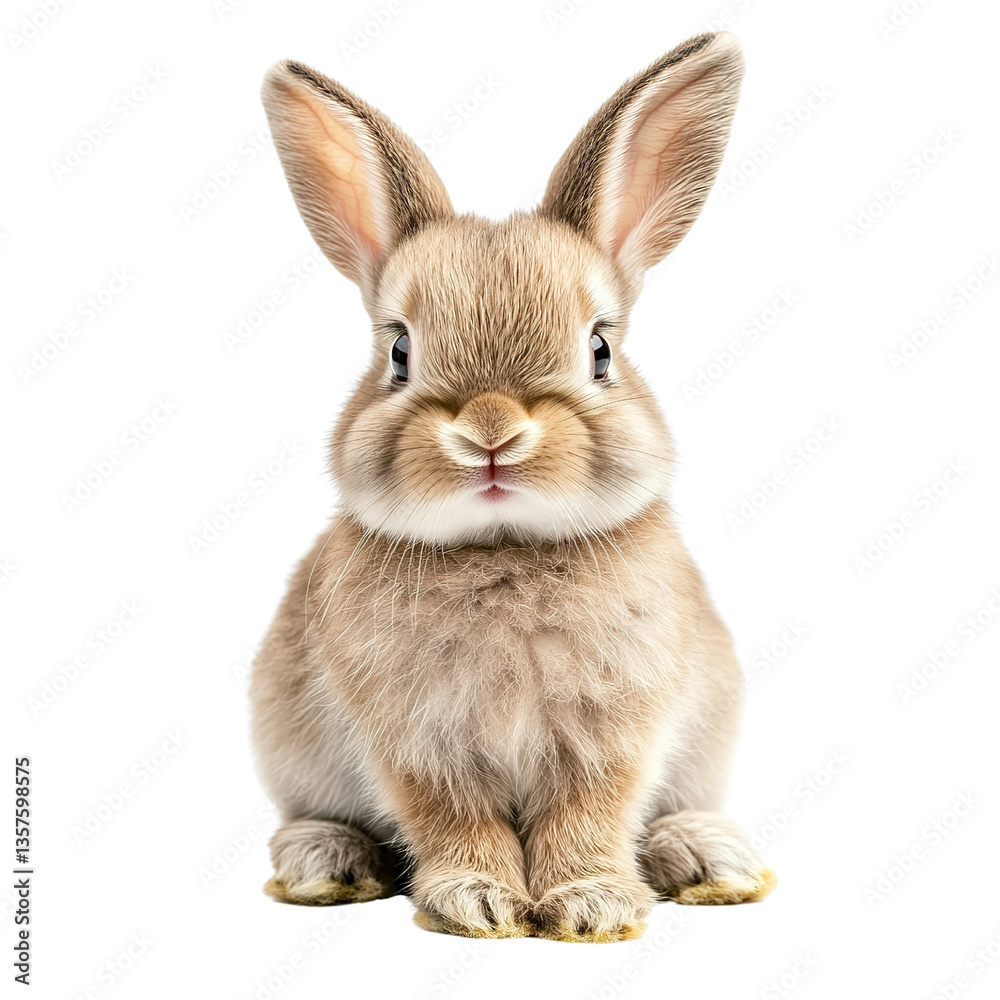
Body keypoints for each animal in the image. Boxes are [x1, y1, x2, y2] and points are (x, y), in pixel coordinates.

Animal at [250, 30, 775, 943]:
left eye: (599, 350)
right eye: (400, 352)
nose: (490, 433)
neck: (505, 550)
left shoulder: (614, 736)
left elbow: (590, 814)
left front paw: (590, 905)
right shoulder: (418, 746)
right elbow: (453, 818)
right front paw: (478, 902)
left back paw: (710, 858)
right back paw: (325, 862)